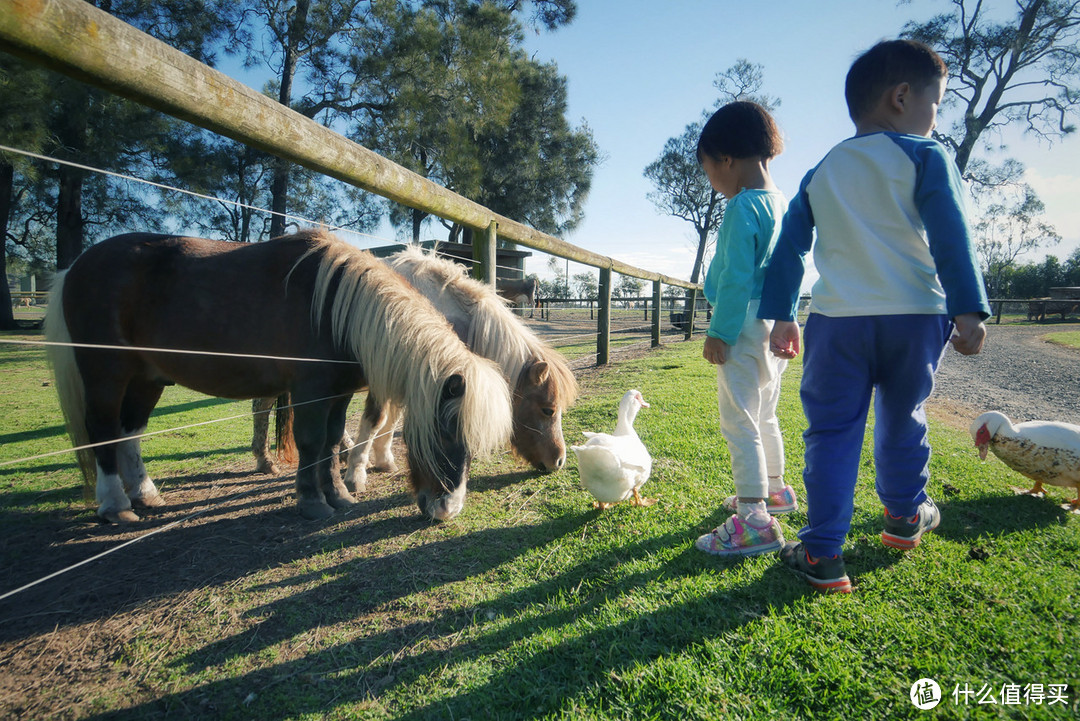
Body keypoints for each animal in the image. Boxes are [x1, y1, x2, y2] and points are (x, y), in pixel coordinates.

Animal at [46, 227, 509, 520]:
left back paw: (145, 494)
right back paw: (115, 505)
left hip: (147, 379)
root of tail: (75, 267)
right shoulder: (310, 391)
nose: (448, 511)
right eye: (446, 433)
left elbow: (330, 442)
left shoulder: (338, 394)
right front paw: (312, 502)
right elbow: (311, 443)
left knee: (130, 432)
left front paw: (339, 495)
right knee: (102, 429)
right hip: (106, 374)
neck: (337, 309)